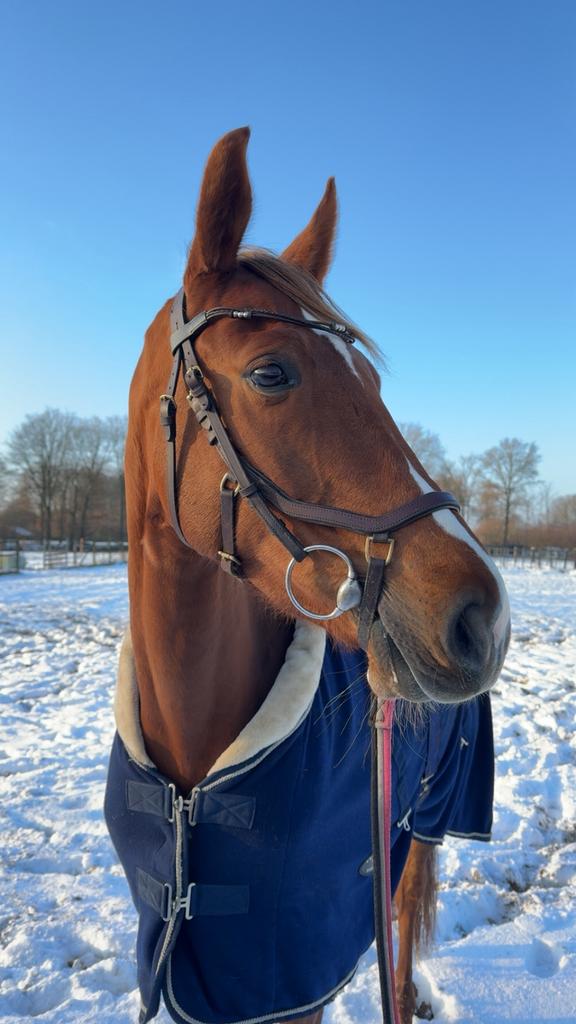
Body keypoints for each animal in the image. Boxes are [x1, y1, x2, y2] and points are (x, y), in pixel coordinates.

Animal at [104, 127, 510, 1024]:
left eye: (375, 382)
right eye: (271, 373)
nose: (484, 621)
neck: (194, 769)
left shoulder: (293, 982)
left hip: (421, 823)